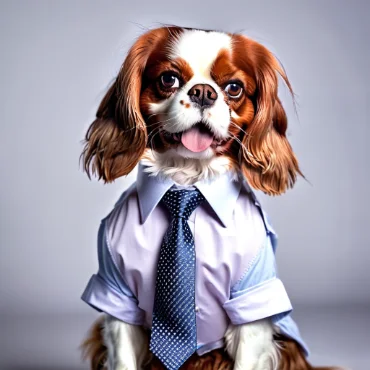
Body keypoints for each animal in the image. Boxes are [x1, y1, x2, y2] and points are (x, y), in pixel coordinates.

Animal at [79, 26, 340, 370]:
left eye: (234, 88)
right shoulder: (117, 295)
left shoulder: (252, 301)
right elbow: (123, 358)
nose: (203, 92)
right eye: (168, 79)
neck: (186, 186)